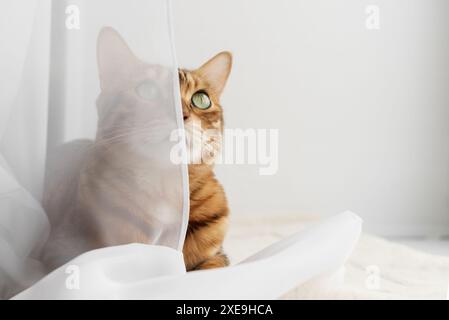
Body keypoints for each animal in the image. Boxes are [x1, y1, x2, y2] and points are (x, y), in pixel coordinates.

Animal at [41, 27, 231, 272]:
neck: (165, 188)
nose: (180, 115)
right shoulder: (65, 248)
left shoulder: (217, 256)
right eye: (148, 90)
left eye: (201, 99)